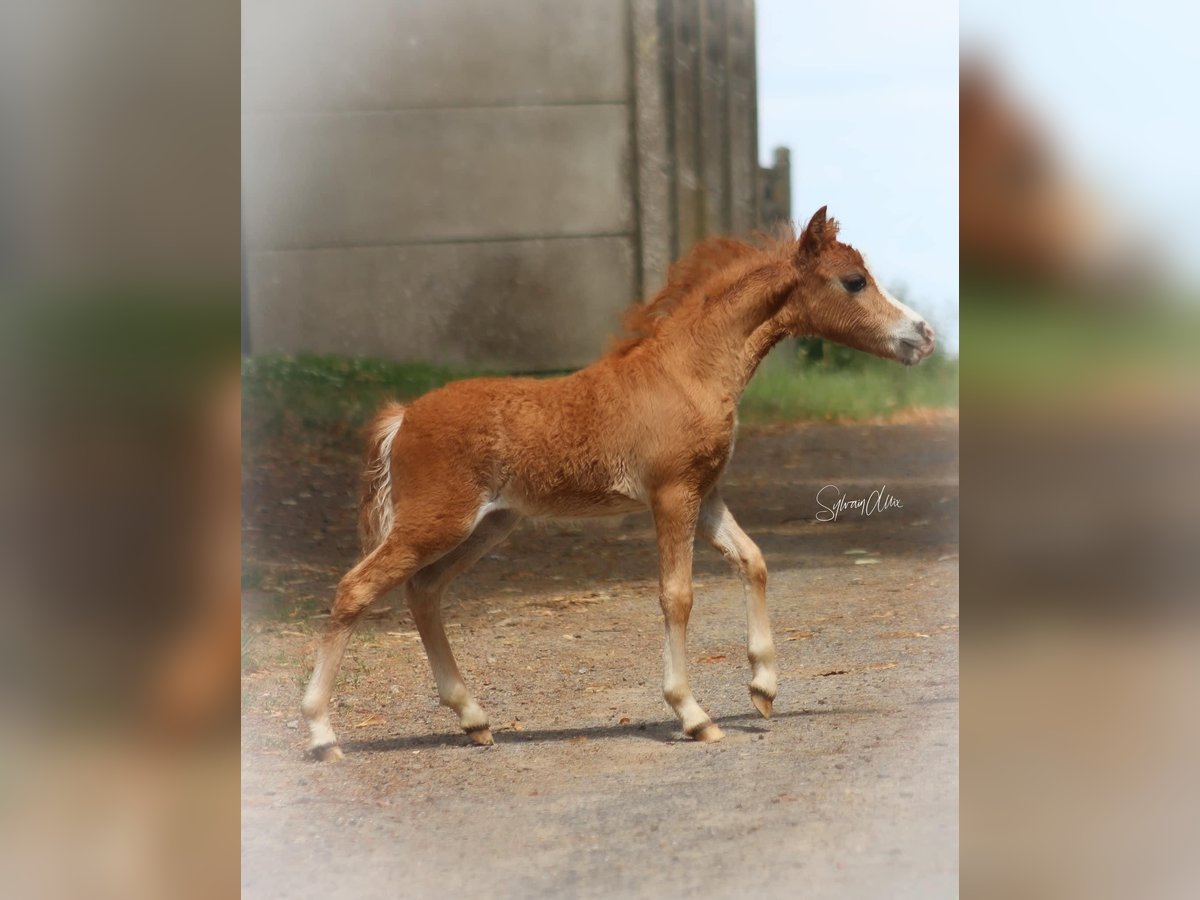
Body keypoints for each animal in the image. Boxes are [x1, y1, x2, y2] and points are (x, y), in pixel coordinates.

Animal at [302, 206, 936, 763]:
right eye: (854, 281)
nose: (924, 335)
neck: (688, 372)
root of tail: (403, 416)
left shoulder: (706, 494)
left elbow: (752, 561)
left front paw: (763, 687)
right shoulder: (671, 495)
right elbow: (677, 595)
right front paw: (693, 715)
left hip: (487, 525)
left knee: (424, 591)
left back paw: (475, 720)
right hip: (438, 520)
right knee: (356, 589)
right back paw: (322, 733)